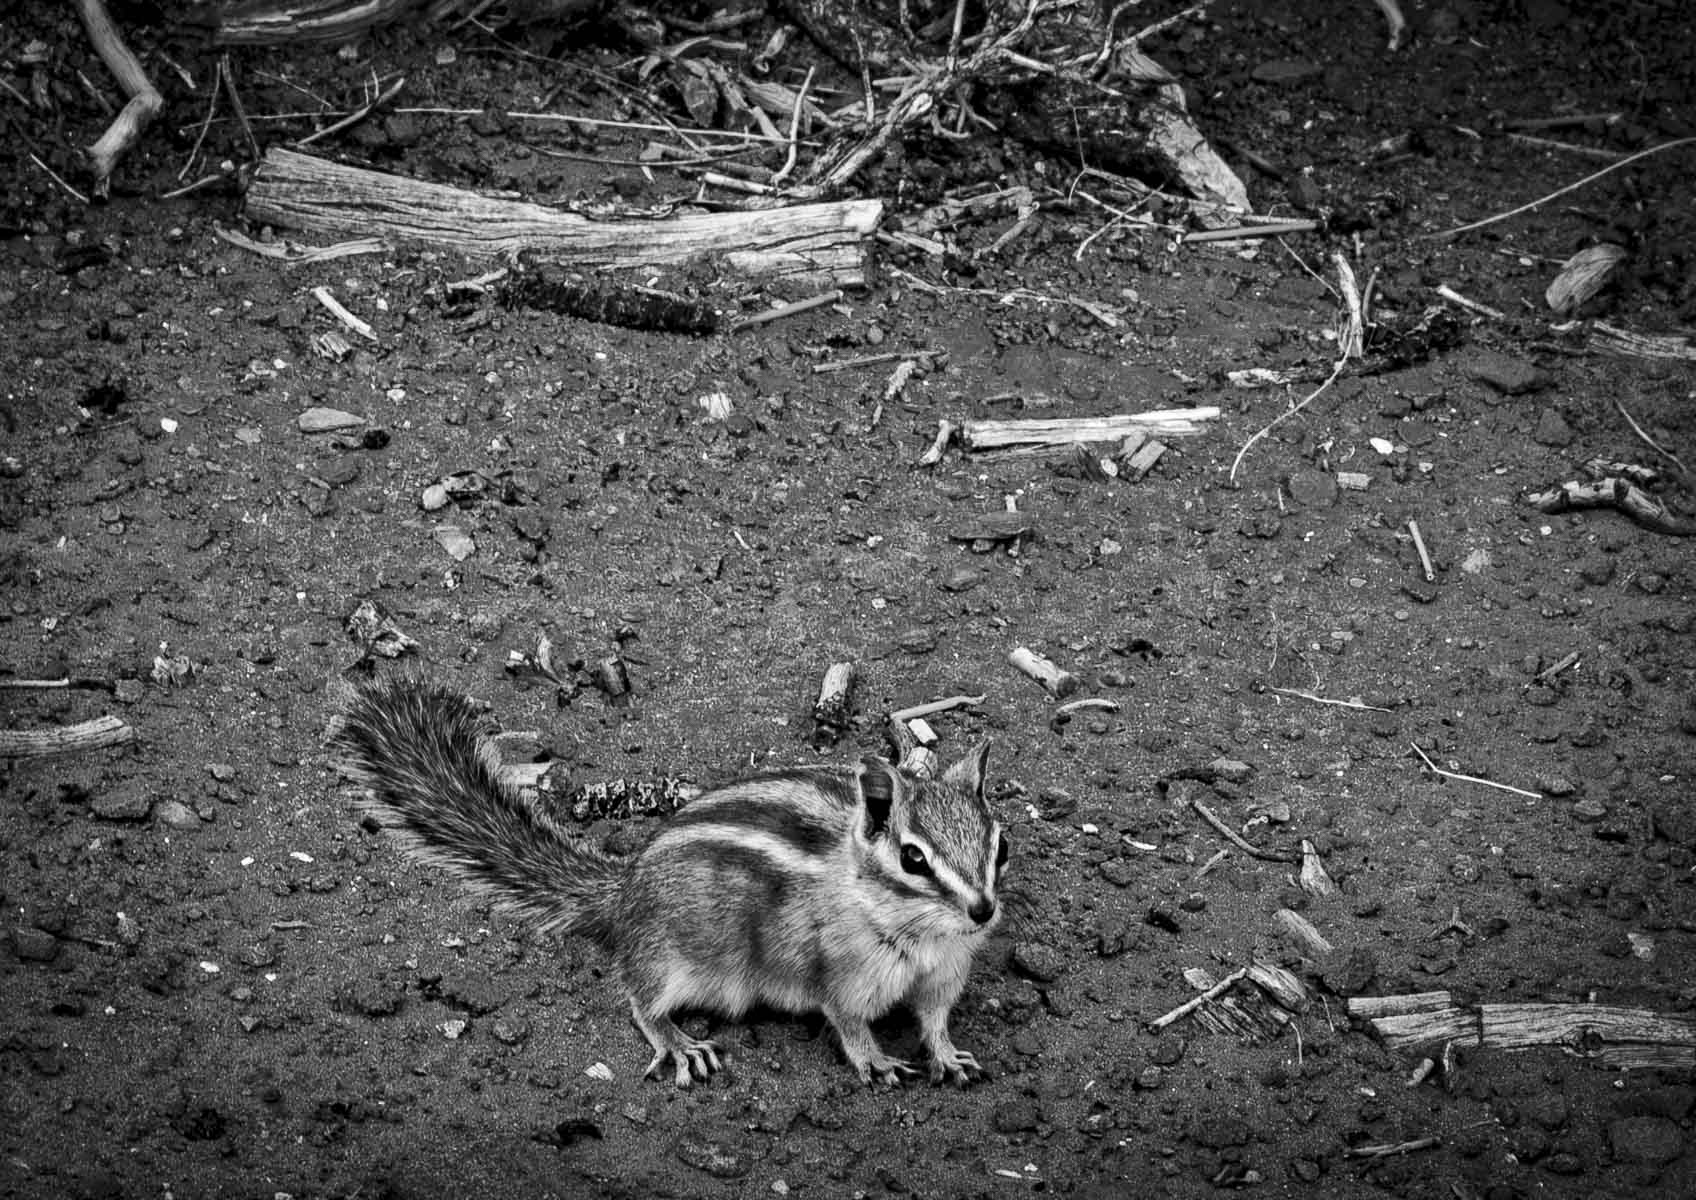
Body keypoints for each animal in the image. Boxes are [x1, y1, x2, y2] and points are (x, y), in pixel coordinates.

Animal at [334, 676, 1009, 1088]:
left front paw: (946, 1055)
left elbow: (934, 1020)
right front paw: (877, 1061)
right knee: (639, 997)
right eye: (913, 860)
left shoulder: (944, 976)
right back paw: (679, 1041)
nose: (983, 911)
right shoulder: (843, 976)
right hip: (674, 958)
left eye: (999, 845)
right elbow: (848, 1025)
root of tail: (624, 889)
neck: (917, 932)